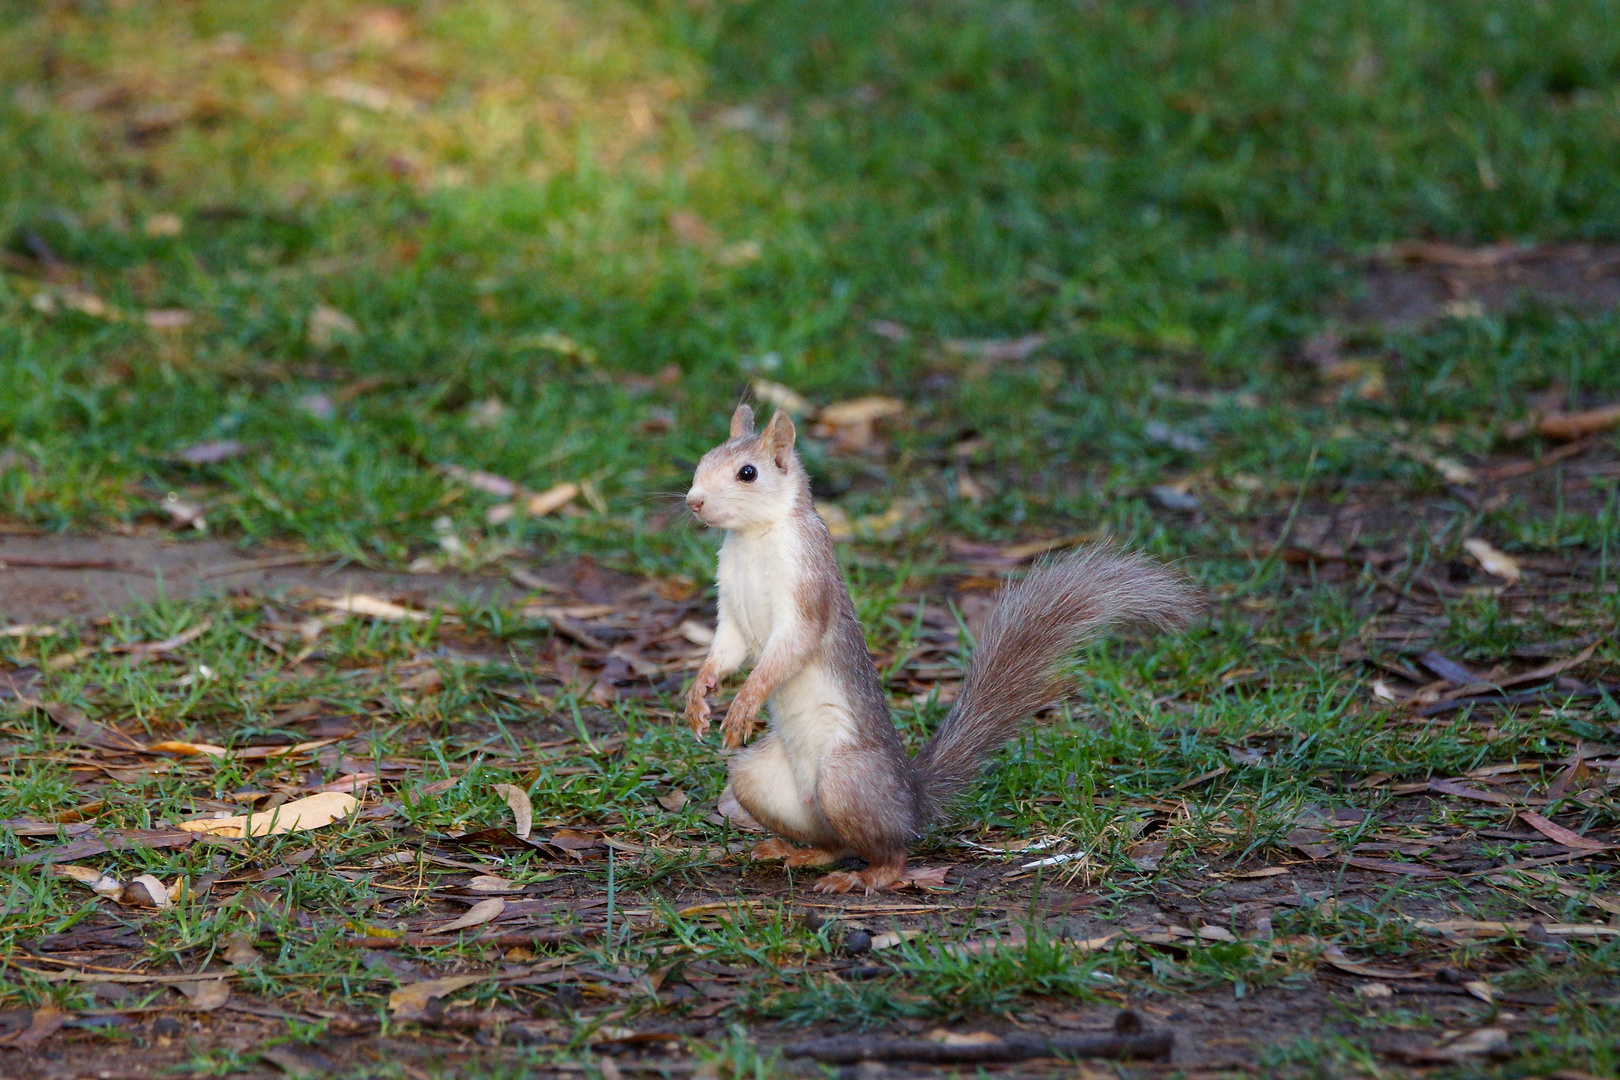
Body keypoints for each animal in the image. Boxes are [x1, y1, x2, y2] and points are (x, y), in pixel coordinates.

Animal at [677, 404, 1198, 893]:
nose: (693, 502)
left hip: (846, 778)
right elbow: (727, 649)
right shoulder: (731, 610)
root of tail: (911, 799)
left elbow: (788, 648)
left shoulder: (806, 589)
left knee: (891, 850)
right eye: (703, 460)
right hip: (760, 781)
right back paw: (799, 852)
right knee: (836, 842)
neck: (752, 539)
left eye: (748, 473)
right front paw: (699, 696)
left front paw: (744, 703)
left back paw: (866, 876)